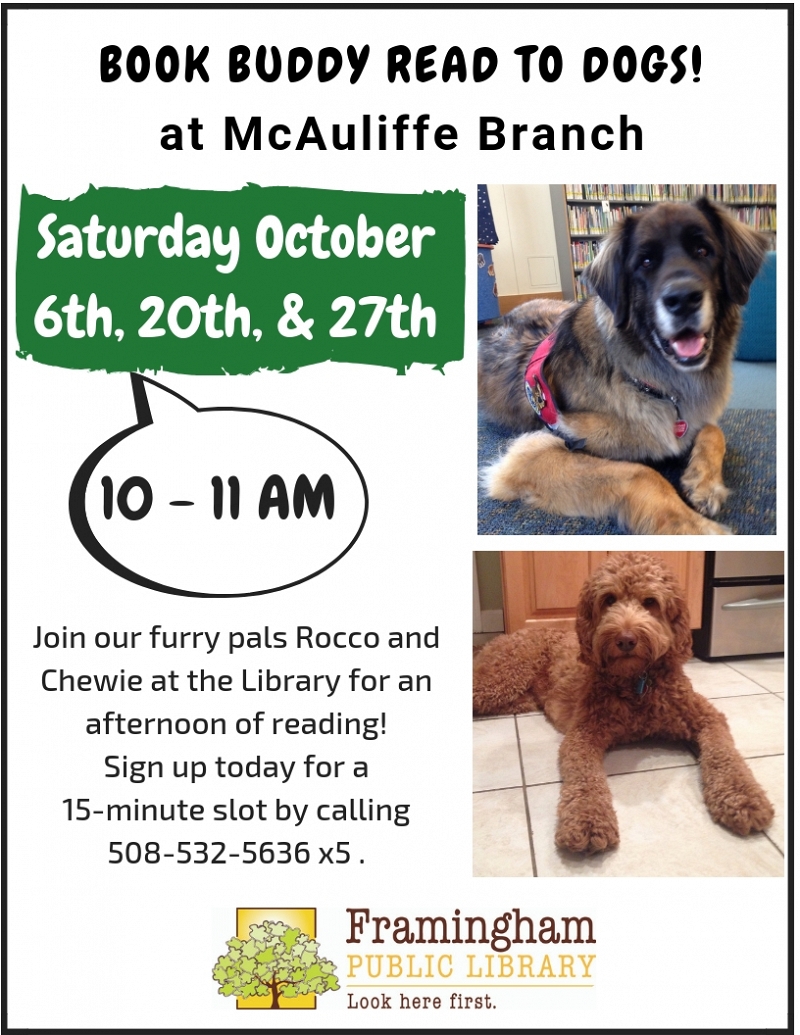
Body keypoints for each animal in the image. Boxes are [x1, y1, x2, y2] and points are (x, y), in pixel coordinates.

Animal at [473, 554, 774, 852]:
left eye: (650, 602)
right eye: (609, 599)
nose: (626, 639)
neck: (636, 682)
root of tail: (509, 635)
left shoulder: (706, 717)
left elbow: (724, 754)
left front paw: (743, 798)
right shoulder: (583, 734)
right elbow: (584, 775)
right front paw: (587, 820)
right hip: (501, 679)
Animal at [480, 197, 765, 534]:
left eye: (703, 251)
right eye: (645, 262)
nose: (683, 299)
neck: (652, 382)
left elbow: (712, 430)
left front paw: (704, 483)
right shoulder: (532, 453)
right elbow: (640, 473)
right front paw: (696, 527)